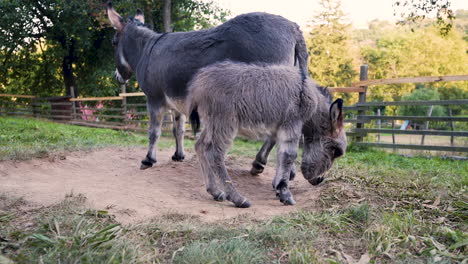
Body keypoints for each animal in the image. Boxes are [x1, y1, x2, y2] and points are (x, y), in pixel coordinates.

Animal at [188, 62, 346, 208]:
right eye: (335, 151)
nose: (319, 180)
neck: (307, 93)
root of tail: (198, 84)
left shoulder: (280, 129)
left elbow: (280, 155)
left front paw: (279, 187)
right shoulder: (292, 122)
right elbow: (289, 155)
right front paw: (284, 192)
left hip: (212, 124)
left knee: (200, 146)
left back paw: (214, 191)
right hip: (224, 122)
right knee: (214, 153)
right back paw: (237, 198)